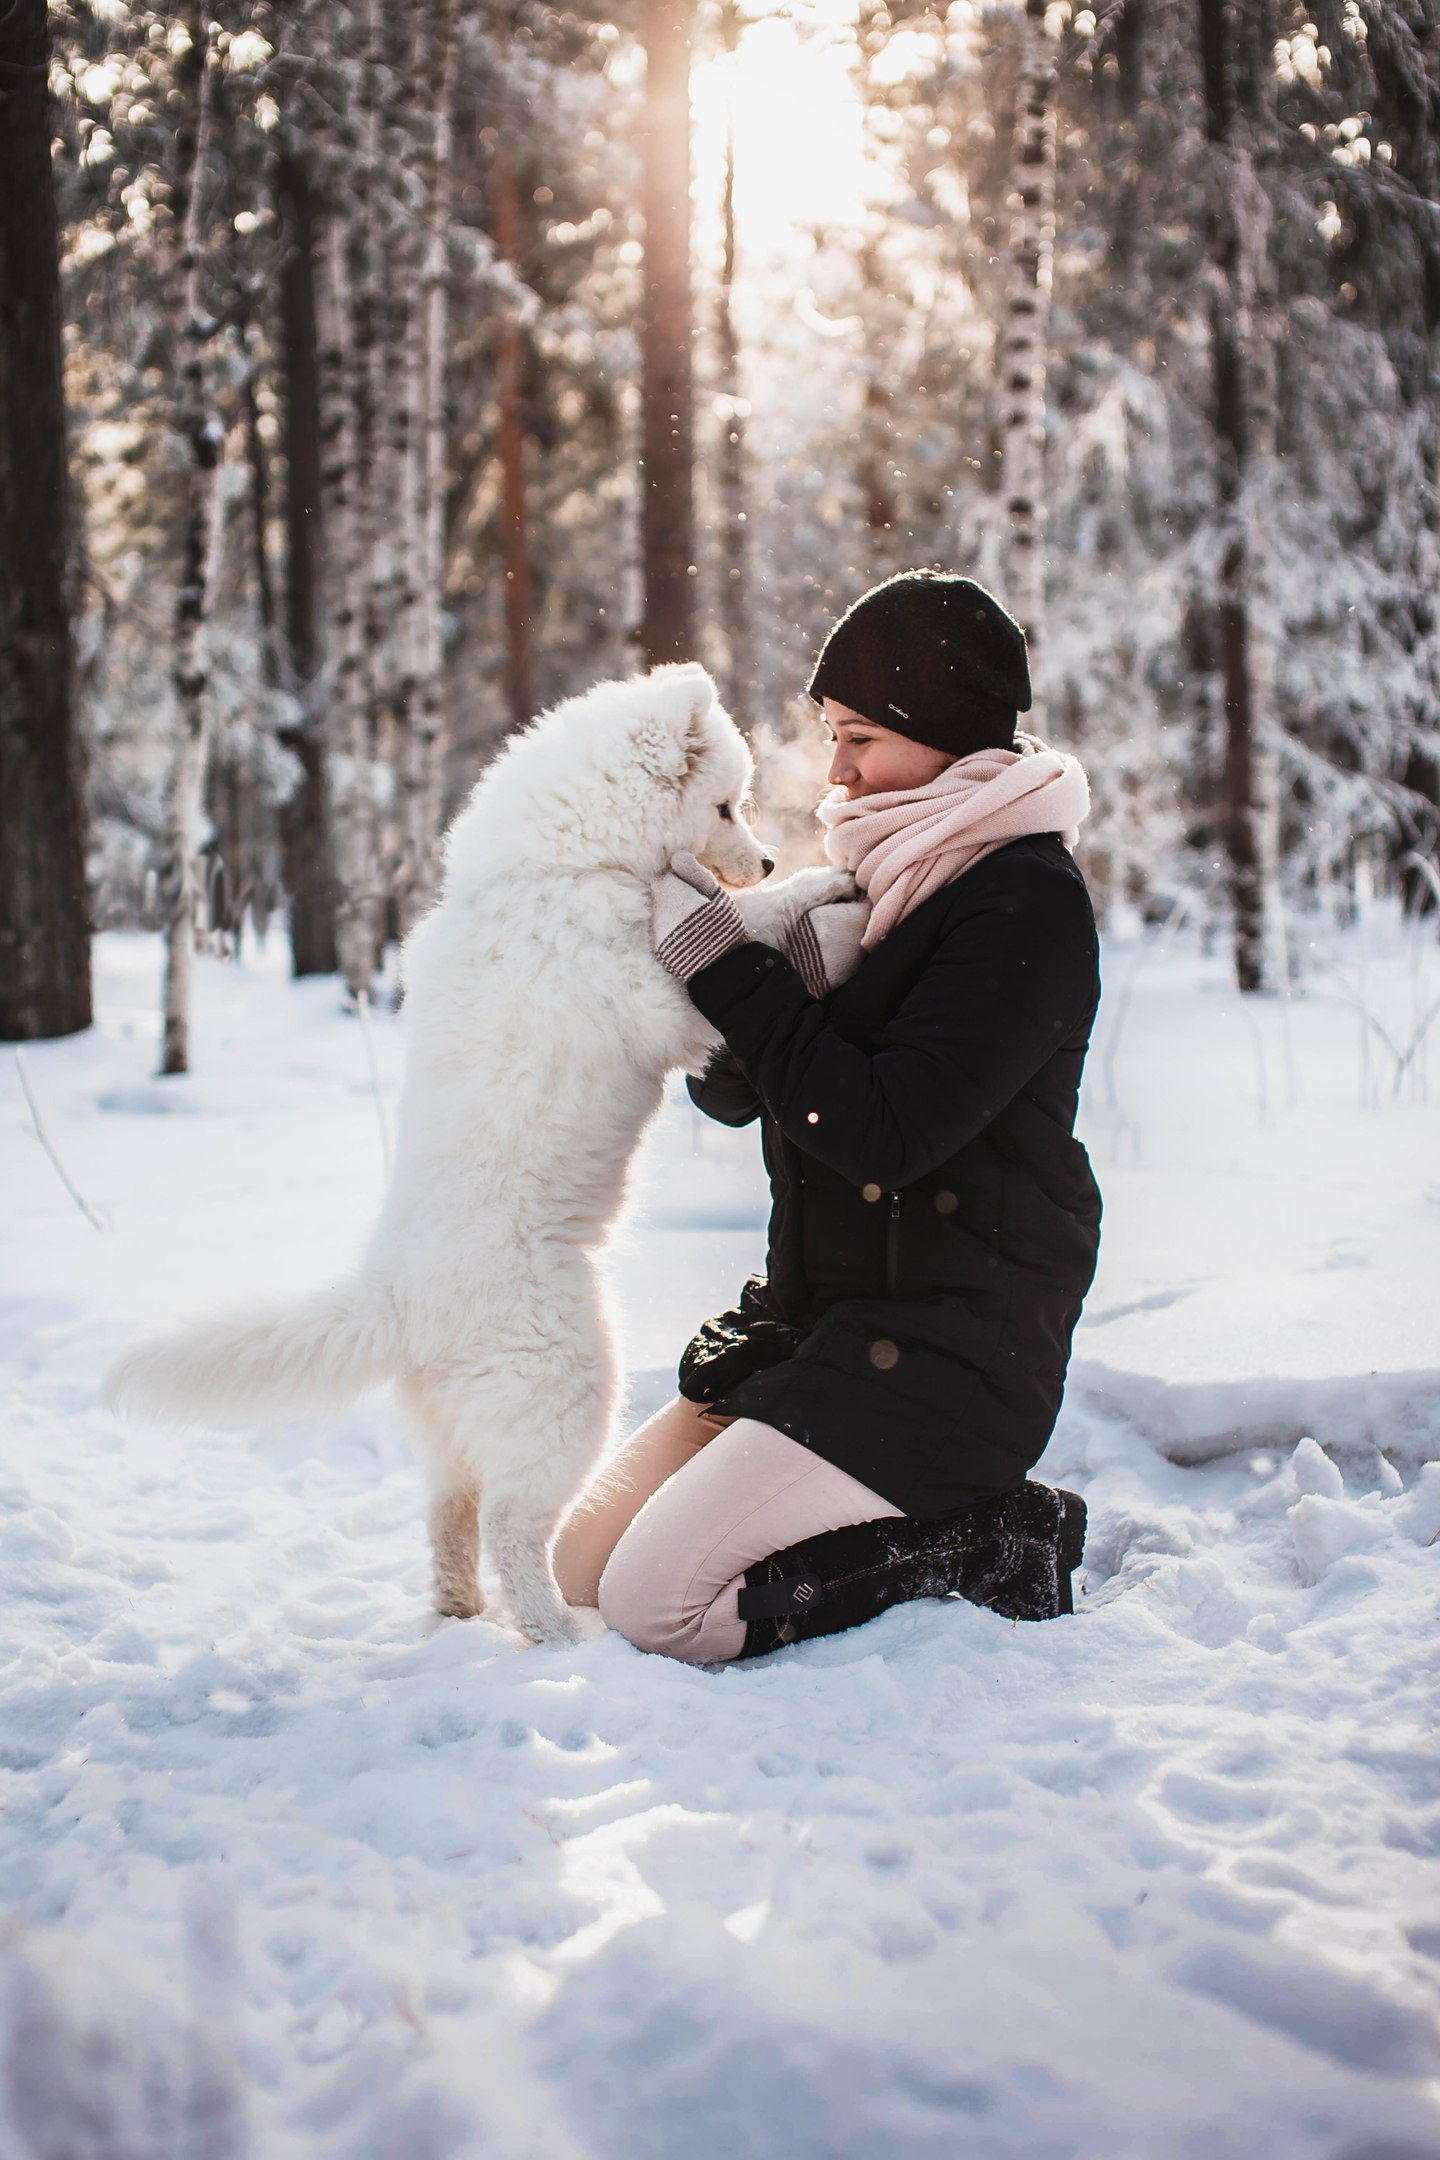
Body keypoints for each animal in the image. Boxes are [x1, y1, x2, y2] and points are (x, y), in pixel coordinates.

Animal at [106, 665, 867, 1641]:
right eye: (727, 804)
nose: (768, 856)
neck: (563, 866)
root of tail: (396, 1300)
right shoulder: (659, 994)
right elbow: (746, 925)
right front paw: (826, 892)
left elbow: (744, 919)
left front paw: (821, 882)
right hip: (567, 1391)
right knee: (512, 1525)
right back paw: (556, 1633)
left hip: (457, 1432)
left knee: (447, 1514)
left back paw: (460, 1612)